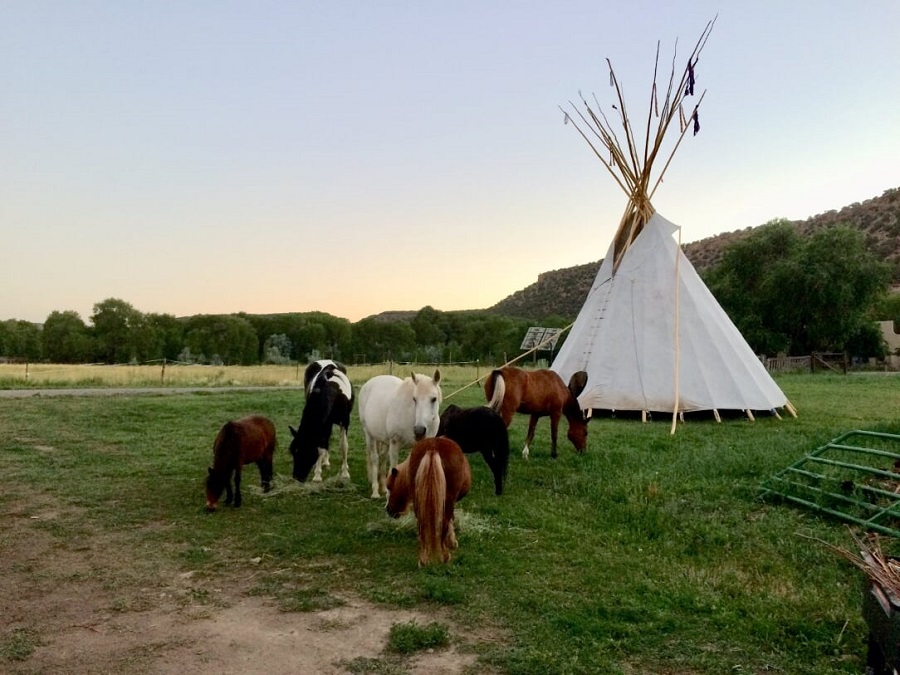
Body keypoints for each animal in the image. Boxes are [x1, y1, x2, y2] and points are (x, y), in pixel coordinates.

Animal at [358, 372, 442, 500]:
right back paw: (375, 492)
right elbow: (394, 467)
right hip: (369, 435)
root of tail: (368, 384)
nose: (419, 430)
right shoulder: (394, 442)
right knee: (375, 459)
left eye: (434, 399)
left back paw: (384, 488)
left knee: (383, 457)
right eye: (414, 399)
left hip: (385, 441)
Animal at [384, 436, 474, 568]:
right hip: (447, 500)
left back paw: (423, 560)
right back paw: (445, 557)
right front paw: (452, 542)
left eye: (390, 486)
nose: (389, 510)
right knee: (444, 522)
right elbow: (451, 520)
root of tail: (433, 448)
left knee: (421, 523)